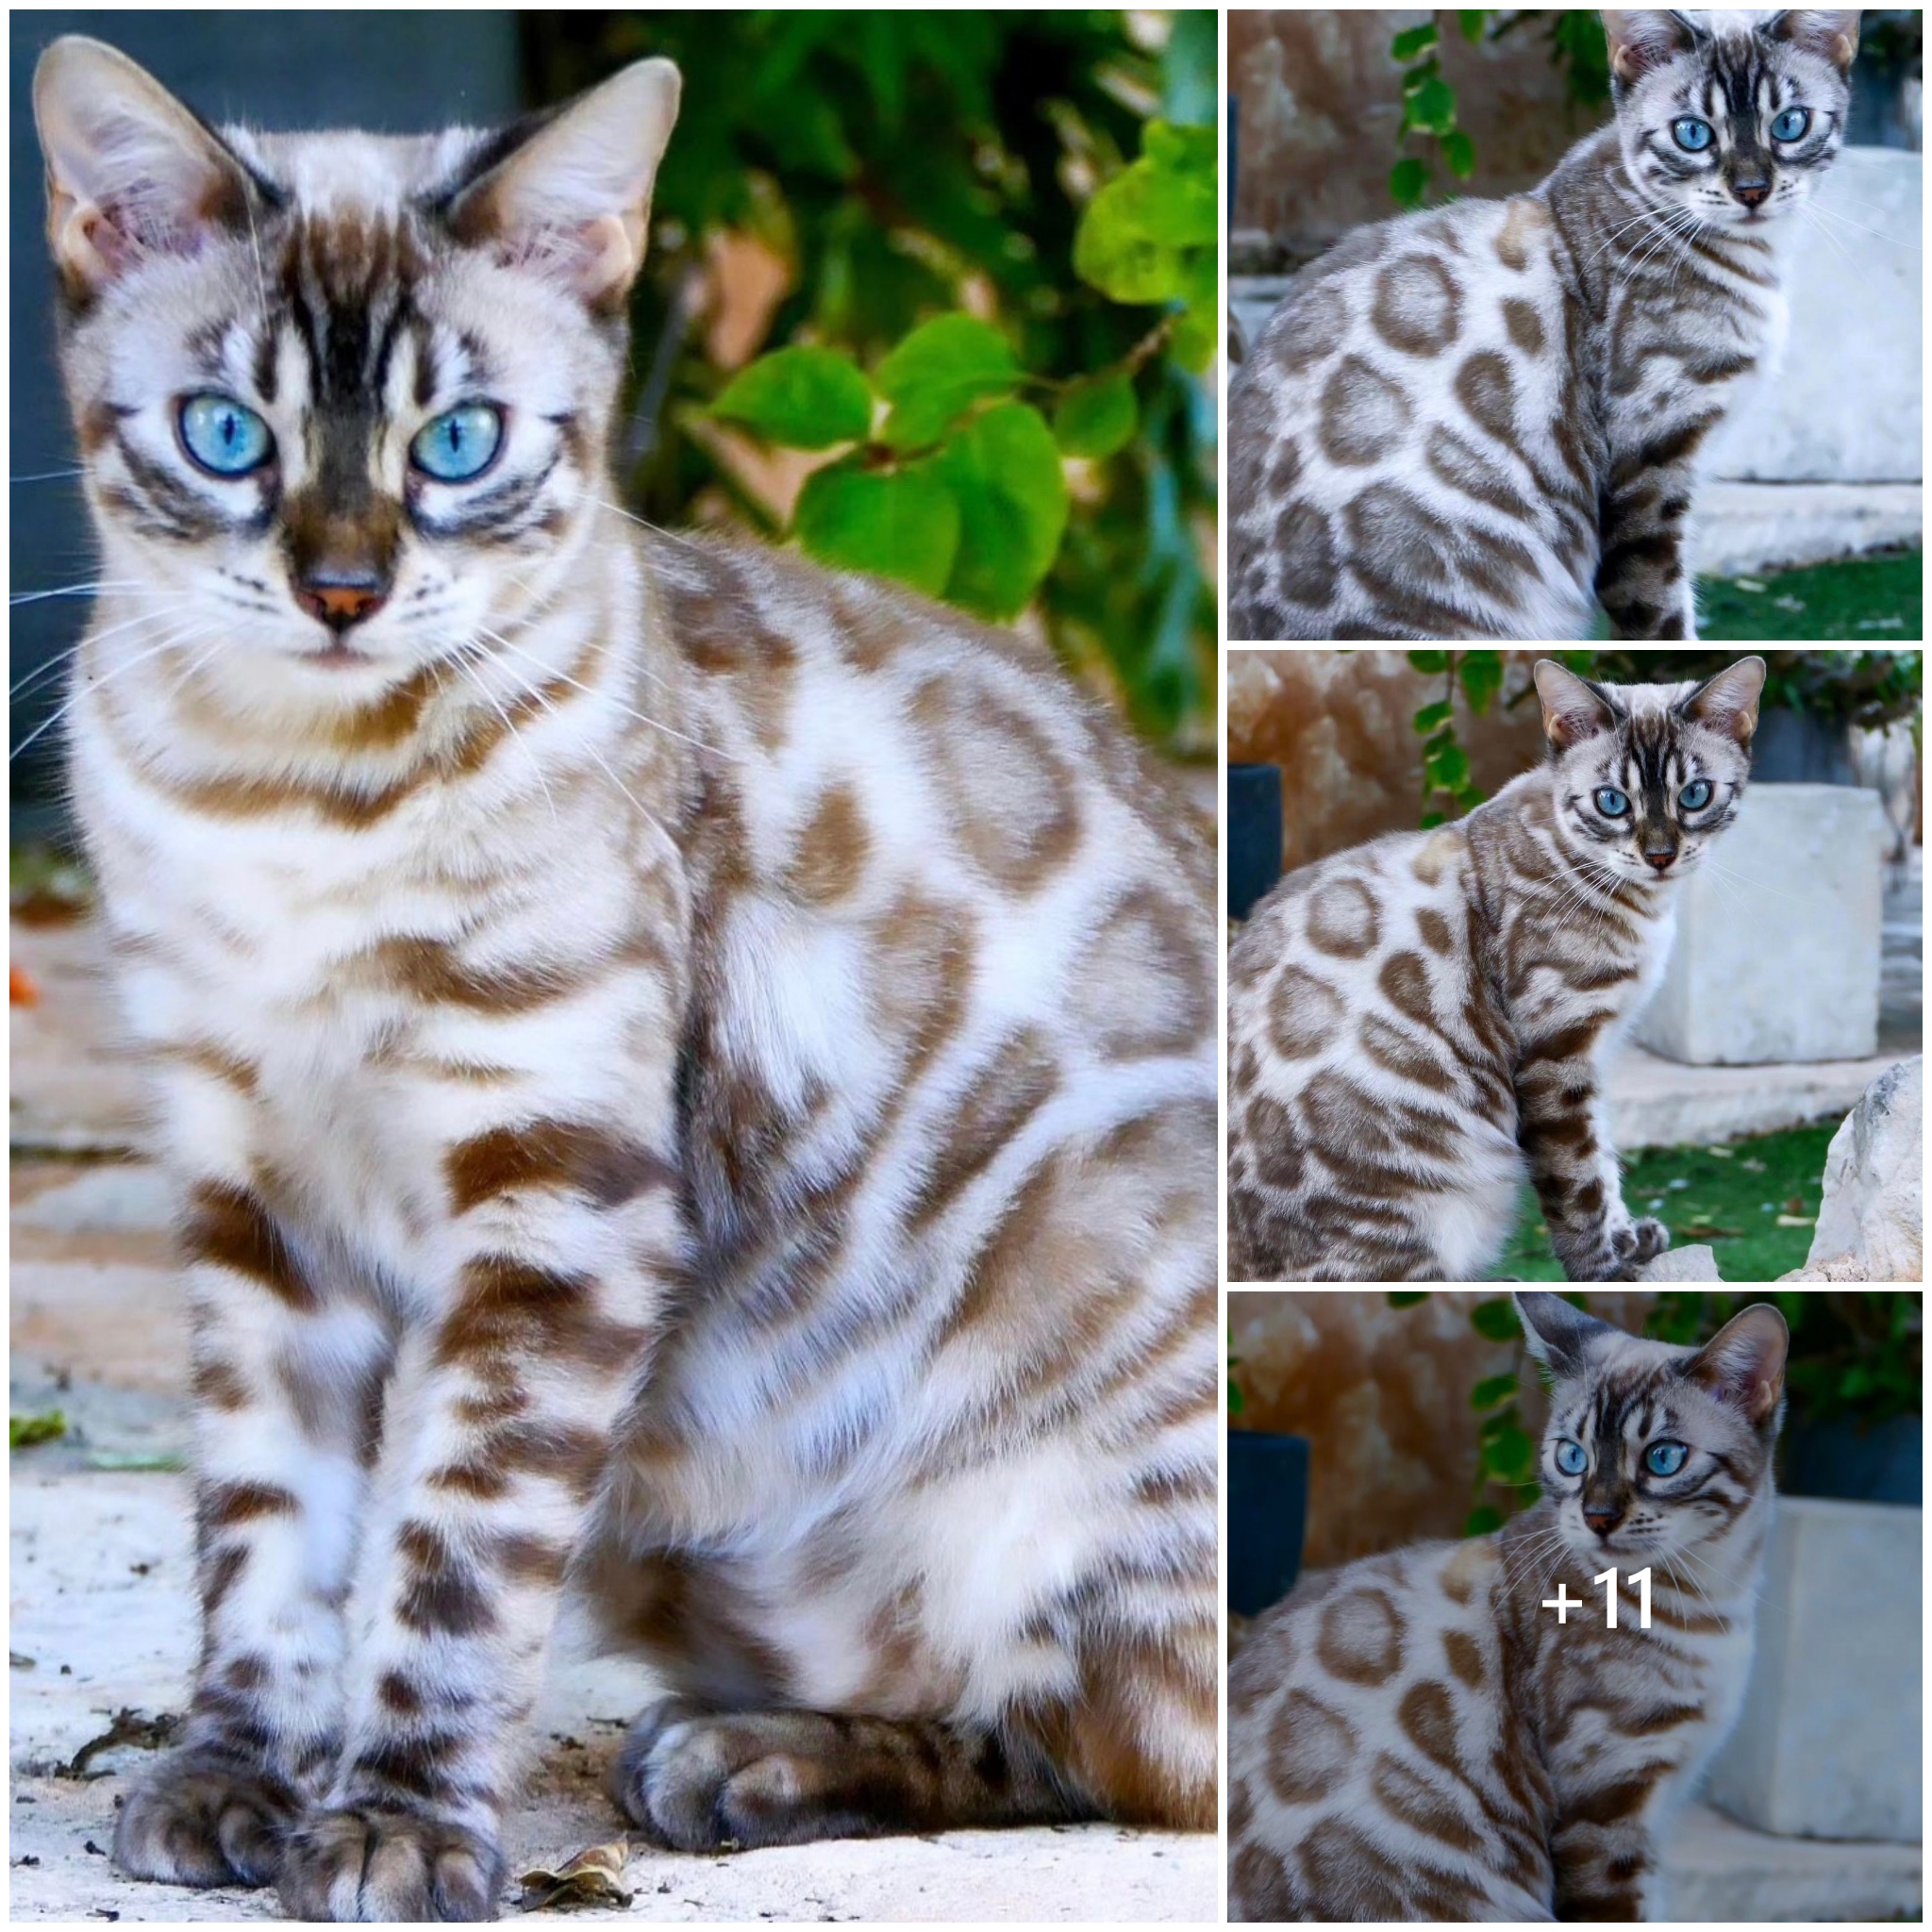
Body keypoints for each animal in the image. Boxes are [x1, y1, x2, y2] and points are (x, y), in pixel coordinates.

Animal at [30, 37, 1213, 1924]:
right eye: (230, 435)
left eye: (457, 444)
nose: (343, 588)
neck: (284, 797)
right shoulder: (250, 1182)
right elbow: (267, 1537)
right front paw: (234, 1783)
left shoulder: (553, 1185)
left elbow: (447, 1565)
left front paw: (396, 1827)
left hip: (1078, 1491)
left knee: (1117, 1748)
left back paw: (738, 1762)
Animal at [1236, 653, 1769, 1282]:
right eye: (1612, 802)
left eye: (1695, 795)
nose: (1660, 856)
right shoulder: (1556, 1052)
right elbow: (1580, 1183)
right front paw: (1607, 1271)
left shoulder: (1593, 1052)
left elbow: (1605, 1160)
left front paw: (1631, 1241)